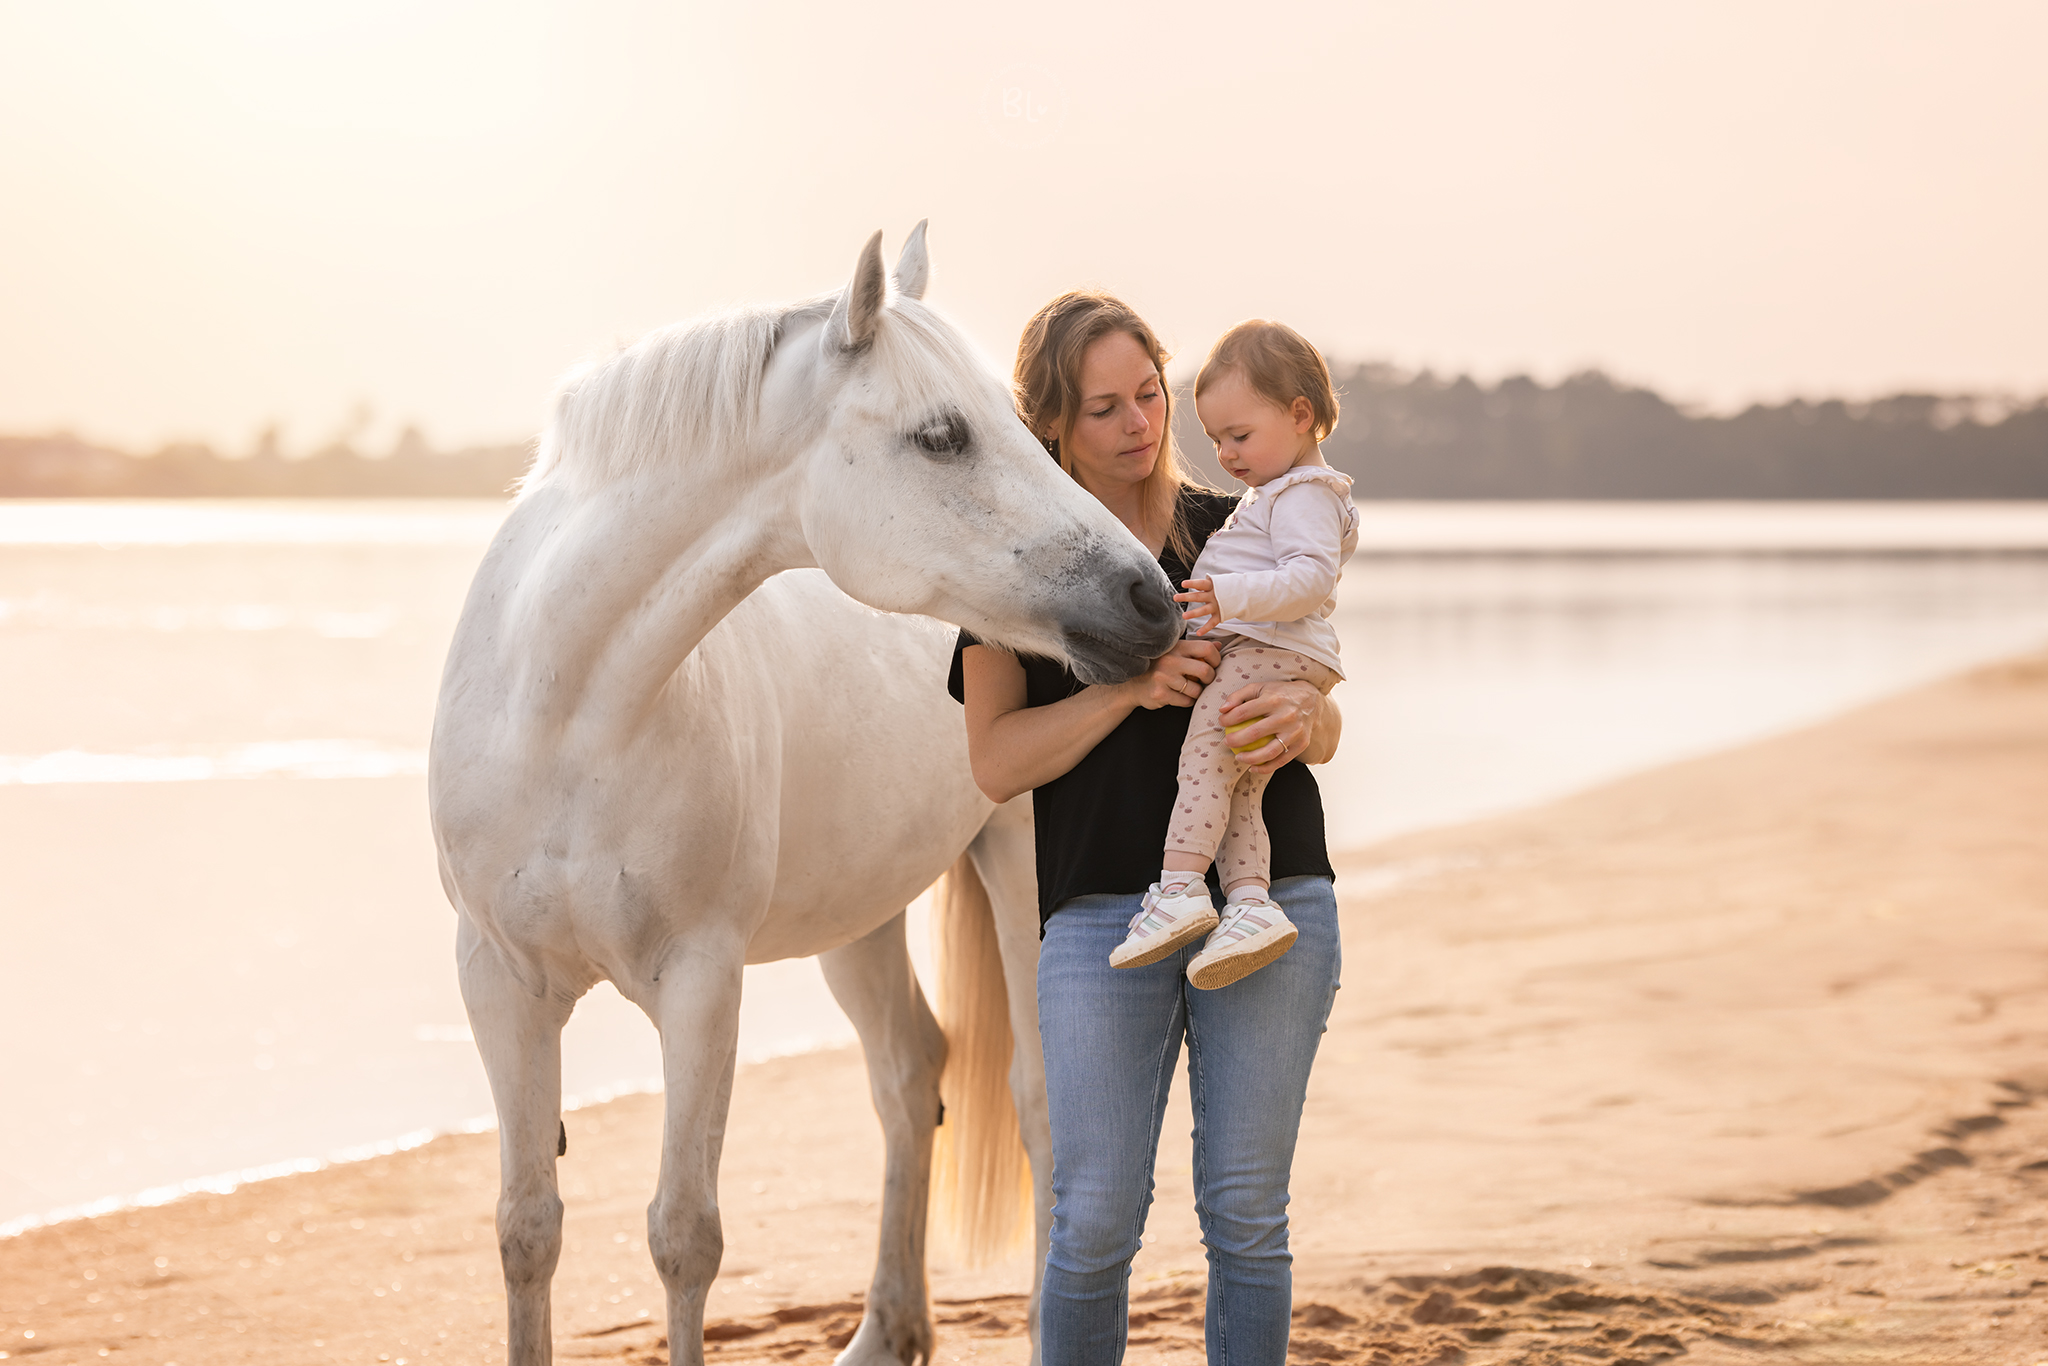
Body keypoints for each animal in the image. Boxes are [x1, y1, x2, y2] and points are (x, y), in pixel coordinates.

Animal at [428, 223, 1182, 1366]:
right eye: (941, 436)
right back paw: (885, 1331)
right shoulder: (499, 981)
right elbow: (527, 1229)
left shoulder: (700, 982)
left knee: (1042, 1101)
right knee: (910, 1077)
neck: (561, 715)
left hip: (1017, 877)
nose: (1150, 599)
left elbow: (683, 1235)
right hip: (859, 917)